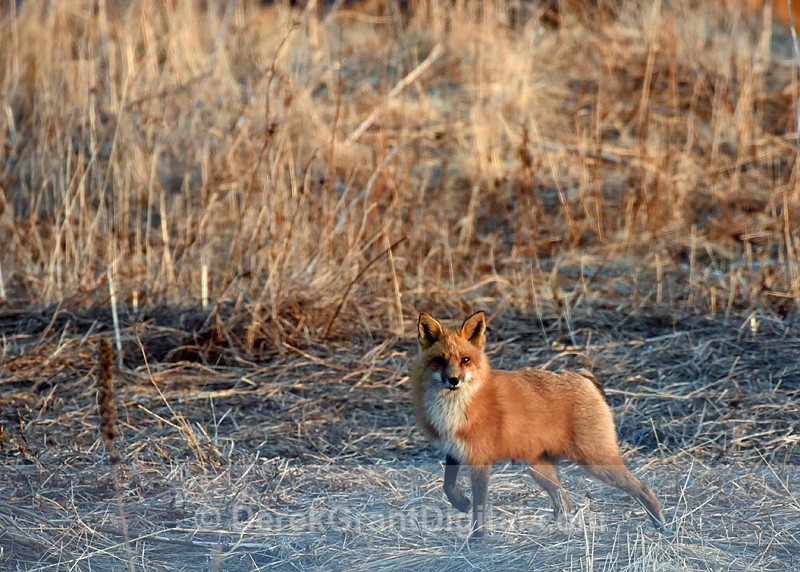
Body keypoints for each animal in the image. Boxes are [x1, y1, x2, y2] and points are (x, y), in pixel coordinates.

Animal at [411, 311, 670, 539]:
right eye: (440, 361)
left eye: (465, 360)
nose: (453, 380)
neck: (455, 407)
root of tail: (583, 376)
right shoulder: (454, 450)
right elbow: (448, 486)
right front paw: (462, 504)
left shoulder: (480, 459)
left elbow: (480, 505)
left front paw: (478, 538)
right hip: (539, 469)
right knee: (564, 501)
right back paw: (556, 532)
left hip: (595, 461)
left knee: (643, 490)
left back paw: (662, 527)